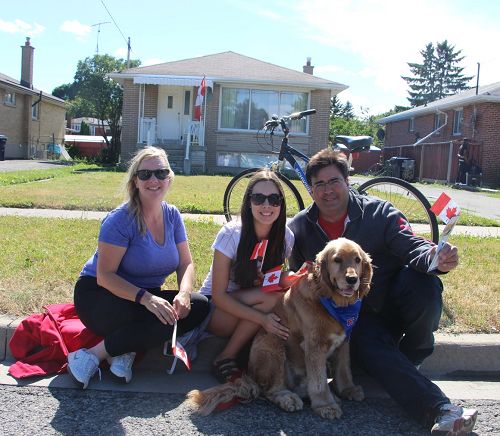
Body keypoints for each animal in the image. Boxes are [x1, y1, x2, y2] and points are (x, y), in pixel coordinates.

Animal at [188, 238, 372, 418]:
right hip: (273, 344)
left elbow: (343, 368)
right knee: (270, 390)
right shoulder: (314, 345)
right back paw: (287, 398)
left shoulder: (344, 339)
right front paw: (326, 405)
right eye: (337, 260)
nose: (352, 280)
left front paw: (348, 389)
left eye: (357, 260)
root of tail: (251, 376)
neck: (335, 303)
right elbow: (319, 381)